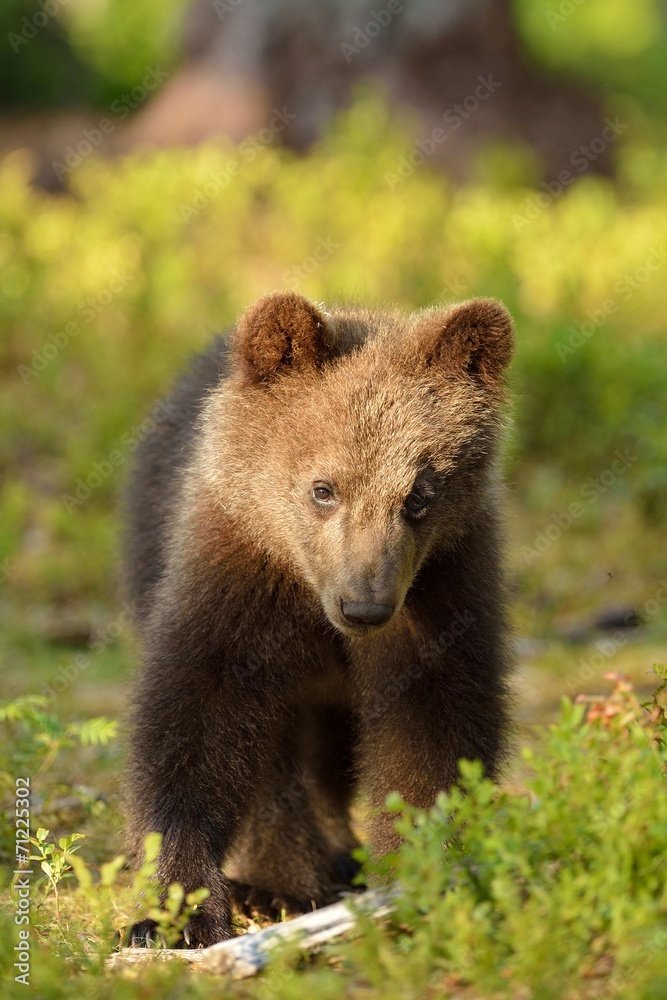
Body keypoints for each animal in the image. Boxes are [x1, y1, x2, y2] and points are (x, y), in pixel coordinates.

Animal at [123, 290, 514, 948]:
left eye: (419, 495)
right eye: (323, 488)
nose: (364, 605)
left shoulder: (440, 590)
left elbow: (433, 731)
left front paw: (421, 871)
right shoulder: (238, 578)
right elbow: (197, 719)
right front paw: (178, 911)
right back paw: (283, 881)